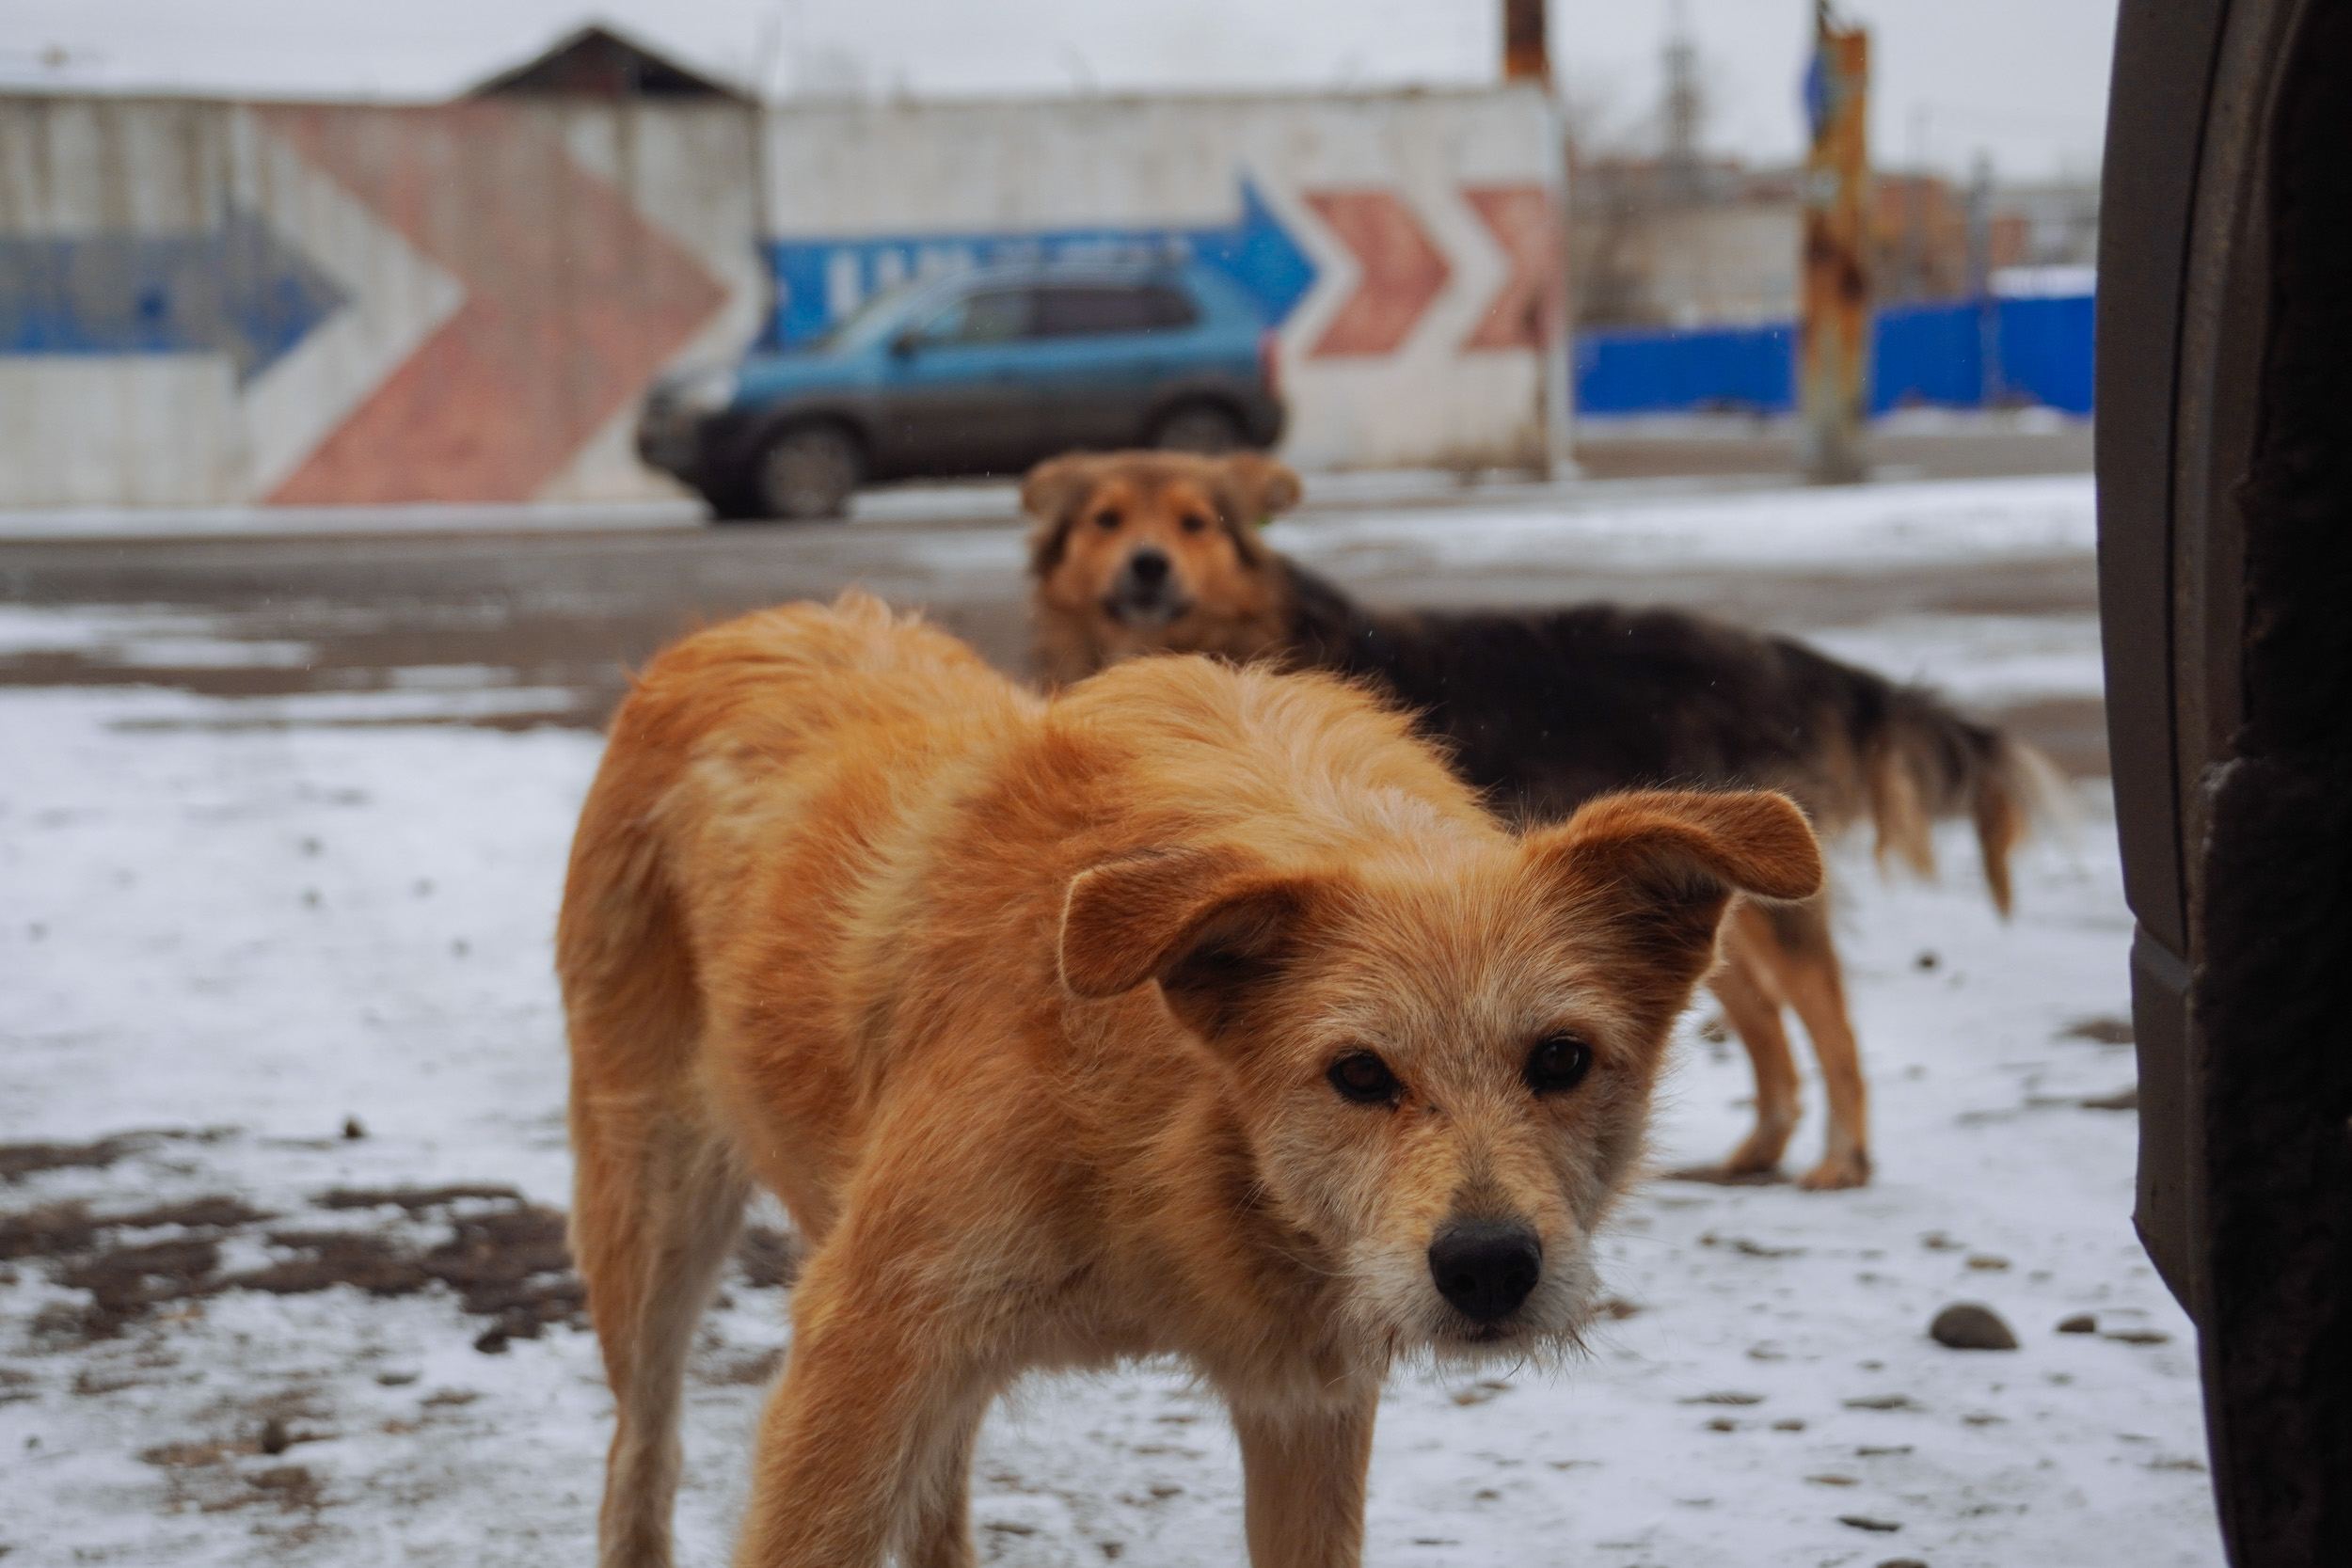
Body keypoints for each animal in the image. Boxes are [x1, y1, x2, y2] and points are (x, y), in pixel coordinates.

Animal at [560, 592, 1825, 1568]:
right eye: (1357, 1073)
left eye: (1559, 1058)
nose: (1487, 1267)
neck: (1177, 1126)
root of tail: (728, 630)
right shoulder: (866, 1344)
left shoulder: (1306, 1404)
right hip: (655, 1230)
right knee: (639, 1456)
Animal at [1021, 451, 2051, 1189]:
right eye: (1106, 519)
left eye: (1195, 521)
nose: (1147, 565)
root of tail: (1779, 652)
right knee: (1761, 1016)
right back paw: (1755, 1149)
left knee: (1827, 1014)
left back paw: (1843, 1158)